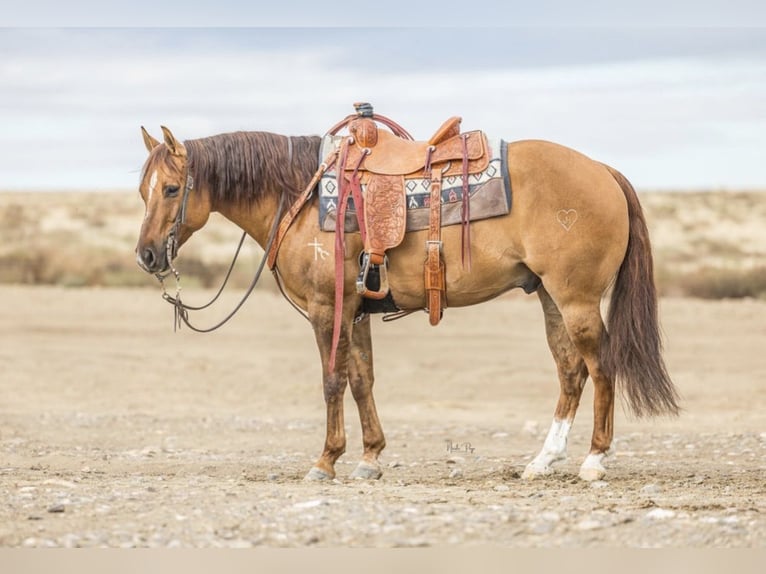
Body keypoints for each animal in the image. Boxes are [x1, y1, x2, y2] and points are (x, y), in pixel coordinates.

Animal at [134, 120, 679, 483]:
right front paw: (370, 458)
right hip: (550, 297)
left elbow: (332, 381)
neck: (300, 195)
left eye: (172, 188)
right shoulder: (355, 312)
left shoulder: (327, 309)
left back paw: (594, 460)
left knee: (601, 365)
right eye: (143, 189)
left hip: (577, 299)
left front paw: (326, 461)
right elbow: (361, 381)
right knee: (571, 371)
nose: (146, 254)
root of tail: (603, 171)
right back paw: (543, 461)